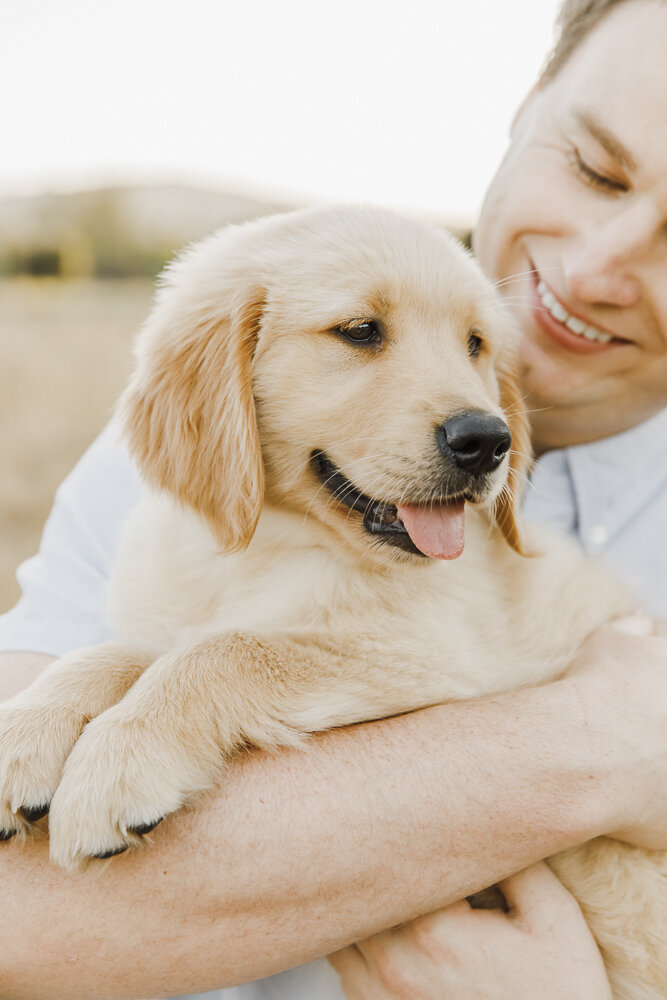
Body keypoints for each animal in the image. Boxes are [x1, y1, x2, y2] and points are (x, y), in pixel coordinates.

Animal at [0, 207, 664, 996]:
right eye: (359, 331)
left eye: (475, 344)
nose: (488, 440)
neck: (274, 547)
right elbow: (115, 652)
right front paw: (26, 732)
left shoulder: (439, 659)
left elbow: (228, 648)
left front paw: (119, 762)